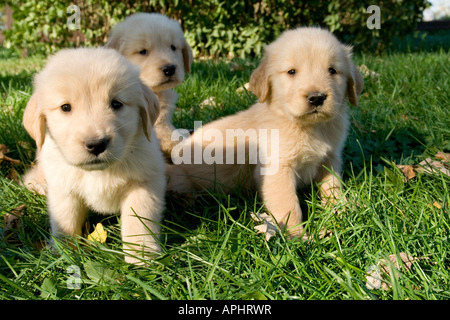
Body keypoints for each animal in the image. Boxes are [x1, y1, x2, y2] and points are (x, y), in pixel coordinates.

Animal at [22, 47, 166, 262]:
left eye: (116, 104)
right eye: (65, 107)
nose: (96, 145)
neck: (99, 172)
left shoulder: (145, 182)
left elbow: (138, 218)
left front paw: (141, 255)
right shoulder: (64, 189)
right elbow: (65, 218)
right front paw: (64, 251)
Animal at [167, 27, 364, 238]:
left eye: (332, 70)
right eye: (291, 72)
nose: (316, 98)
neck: (308, 126)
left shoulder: (330, 159)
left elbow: (333, 187)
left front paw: (342, 212)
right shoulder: (277, 170)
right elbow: (289, 205)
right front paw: (297, 236)